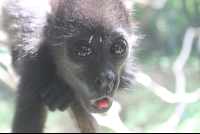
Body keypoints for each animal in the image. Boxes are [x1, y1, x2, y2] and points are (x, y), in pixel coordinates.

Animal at [0, 0, 138, 132]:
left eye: (118, 48)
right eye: (83, 50)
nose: (106, 78)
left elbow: (129, 75)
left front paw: (64, 92)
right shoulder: (35, 63)